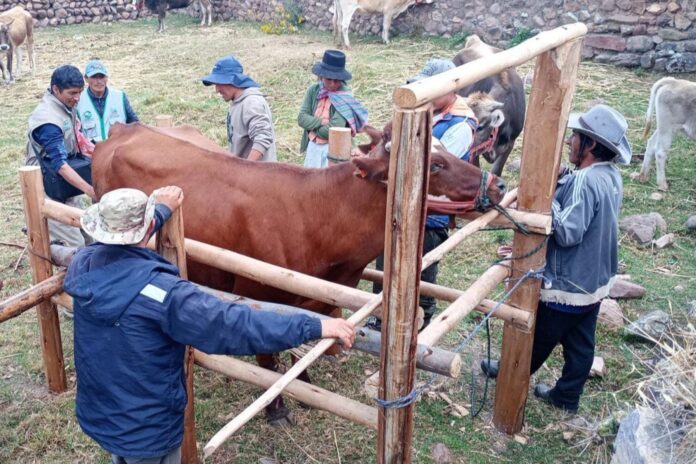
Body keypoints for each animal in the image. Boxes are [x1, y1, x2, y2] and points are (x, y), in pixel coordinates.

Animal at [94, 123, 506, 424]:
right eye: (434, 165)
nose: (498, 184)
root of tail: (124, 128)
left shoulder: (317, 301)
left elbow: (303, 347)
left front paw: (306, 388)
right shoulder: (258, 296)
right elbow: (267, 361)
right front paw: (276, 408)